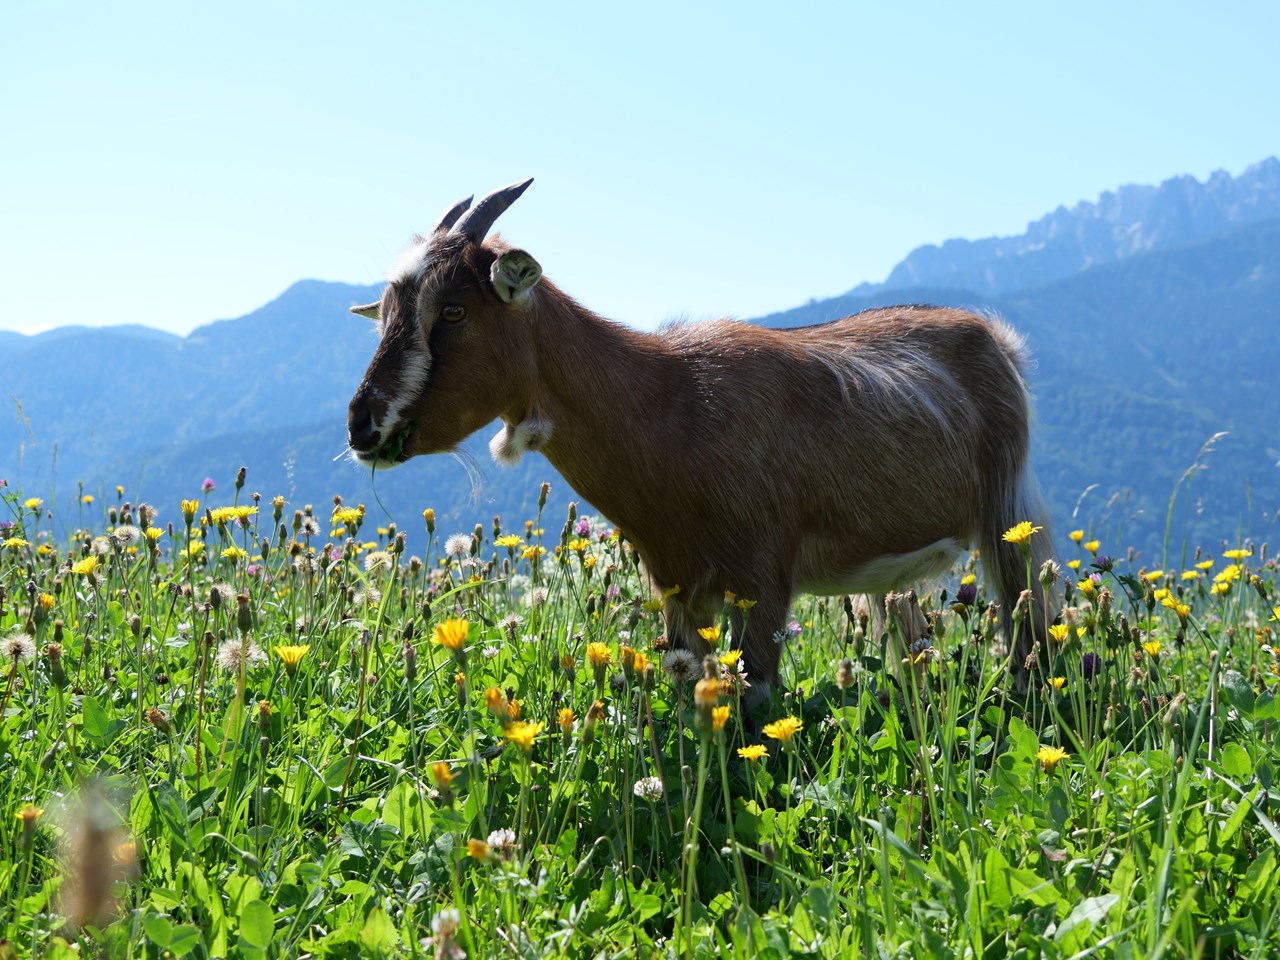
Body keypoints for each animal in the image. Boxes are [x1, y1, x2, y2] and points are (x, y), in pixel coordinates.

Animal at [346, 179, 1055, 701]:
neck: (669, 398)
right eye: (384, 316)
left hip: (1009, 514)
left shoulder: (763, 577)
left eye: (454, 310)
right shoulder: (679, 588)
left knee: (1032, 629)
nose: (361, 423)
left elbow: (756, 702)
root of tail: (997, 339)